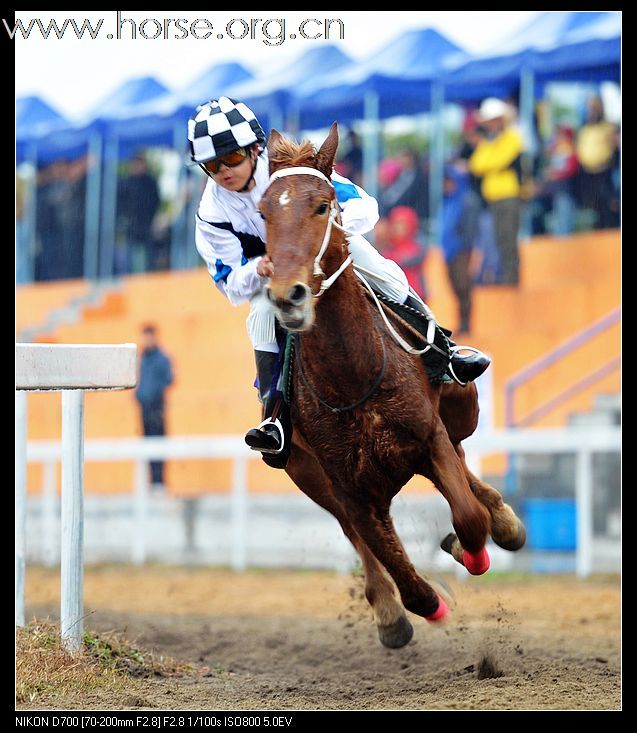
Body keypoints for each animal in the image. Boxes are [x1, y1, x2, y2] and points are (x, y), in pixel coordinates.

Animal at [256, 124, 524, 648]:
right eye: (263, 212)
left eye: (323, 206)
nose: (287, 294)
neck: (354, 379)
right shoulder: (348, 486)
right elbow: (399, 573)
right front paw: (412, 607)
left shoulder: (427, 437)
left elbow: (469, 516)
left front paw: (473, 546)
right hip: (305, 471)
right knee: (354, 534)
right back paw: (388, 610)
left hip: (460, 408)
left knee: (465, 466)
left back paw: (503, 524)